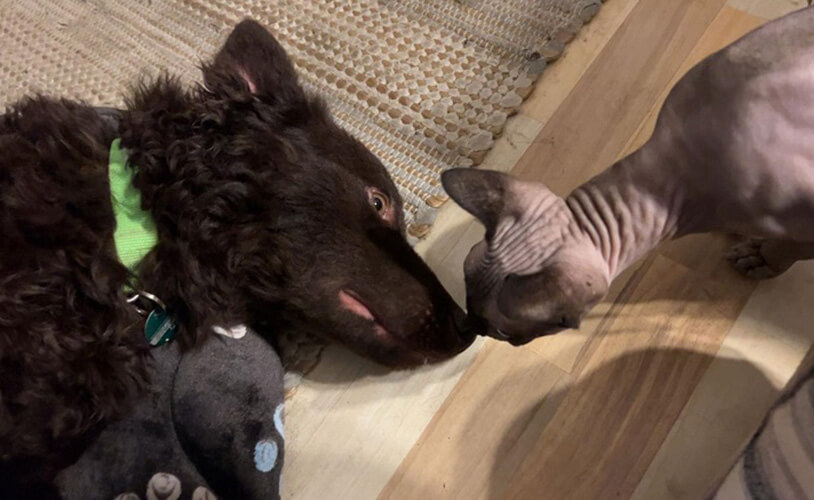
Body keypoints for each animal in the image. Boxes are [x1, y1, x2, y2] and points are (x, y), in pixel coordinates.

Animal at [441, 6, 814, 345]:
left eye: (503, 331)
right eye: (466, 292)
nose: (471, 328)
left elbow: (789, 248)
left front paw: (763, 256)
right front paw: (742, 234)